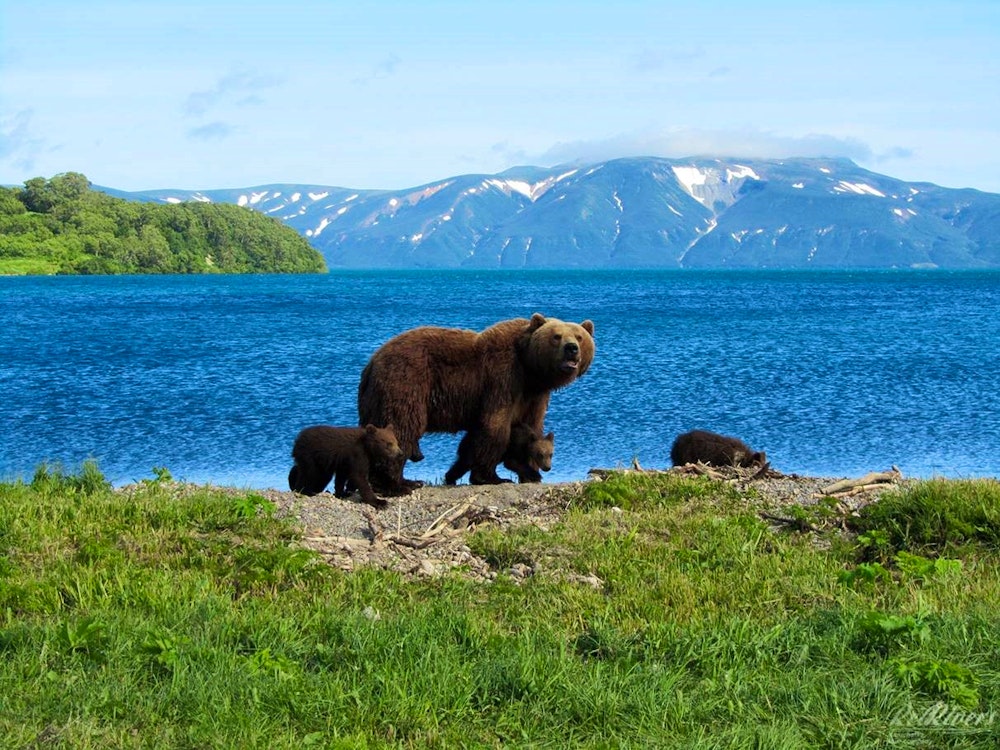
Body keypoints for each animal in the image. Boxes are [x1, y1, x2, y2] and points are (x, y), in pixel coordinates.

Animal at [358, 313, 594, 494]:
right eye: (556, 336)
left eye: (579, 336)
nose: (571, 348)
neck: (530, 370)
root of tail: (372, 362)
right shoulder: (502, 379)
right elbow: (495, 426)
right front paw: (492, 476)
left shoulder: (534, 396)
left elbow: (529, 427)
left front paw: (528, 469)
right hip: (406, 381)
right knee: (401, 426)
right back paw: (399, 484)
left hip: (374, 398)